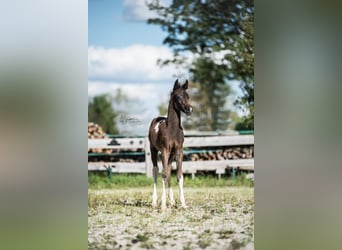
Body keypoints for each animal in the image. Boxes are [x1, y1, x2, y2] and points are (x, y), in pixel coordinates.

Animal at [148, 79, 194, 210]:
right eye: (178, 97)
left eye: (187, 96)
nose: (189, 109)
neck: (172, 129)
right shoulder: (164, 151)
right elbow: (163, 174)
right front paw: (163, 204)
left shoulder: (178, 152)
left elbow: (178, 175)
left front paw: (183, 203)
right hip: (154, 150)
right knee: (156, 171)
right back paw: (155, 201)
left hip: (171, 155)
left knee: (168, 170)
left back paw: (172, 201)